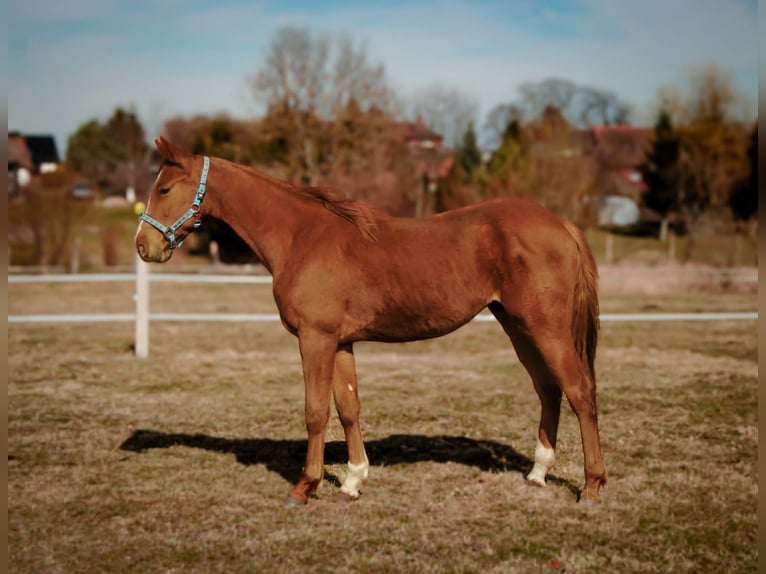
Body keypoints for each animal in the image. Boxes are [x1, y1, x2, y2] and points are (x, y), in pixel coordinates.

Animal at [135, 137, 607, 505]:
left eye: (165, 188)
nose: (144, 246)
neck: (301, 237)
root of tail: (562, 224)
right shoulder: (341, 342)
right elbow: (348, 408)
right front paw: (353, 480)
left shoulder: (315, 339)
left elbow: (315, 411)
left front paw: (305, 486)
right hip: (518, 326)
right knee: (549, 389)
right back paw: (538, 473)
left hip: (546, 328)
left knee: (580, 391)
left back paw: (592, 486)